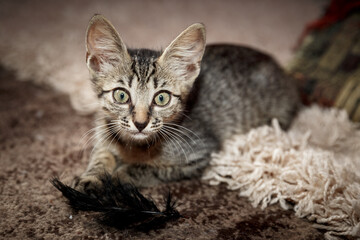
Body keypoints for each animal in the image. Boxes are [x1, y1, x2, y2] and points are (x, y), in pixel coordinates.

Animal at [73, 14, 298, 192]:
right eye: (121, 96)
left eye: (161, 98)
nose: (140, 123)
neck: (133, 146)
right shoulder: (103, 135)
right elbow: (101, 155)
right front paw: (92, 176)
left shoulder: (200, 153)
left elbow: (148, 168)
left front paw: (118, 177)